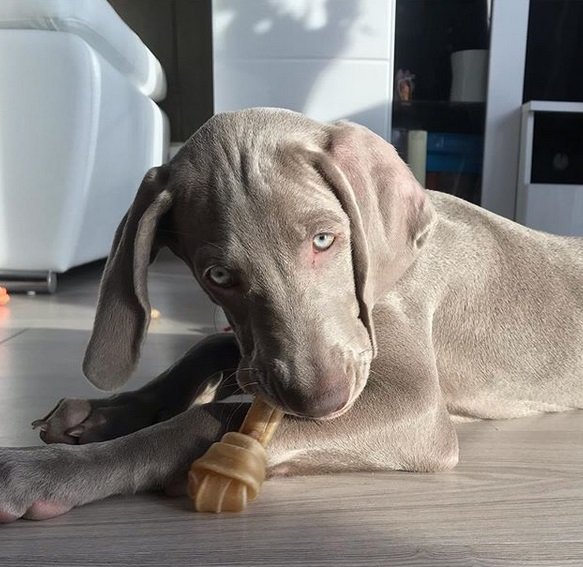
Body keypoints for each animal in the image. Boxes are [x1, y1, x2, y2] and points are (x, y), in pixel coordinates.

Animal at [1, 107, 583, 524]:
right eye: (218, 275)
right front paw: (105, 413)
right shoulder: (257, 348)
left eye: (324, 239)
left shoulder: (416, 406)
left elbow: (210, 415)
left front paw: (45, 471)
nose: (319, 402)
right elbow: (207, 349)